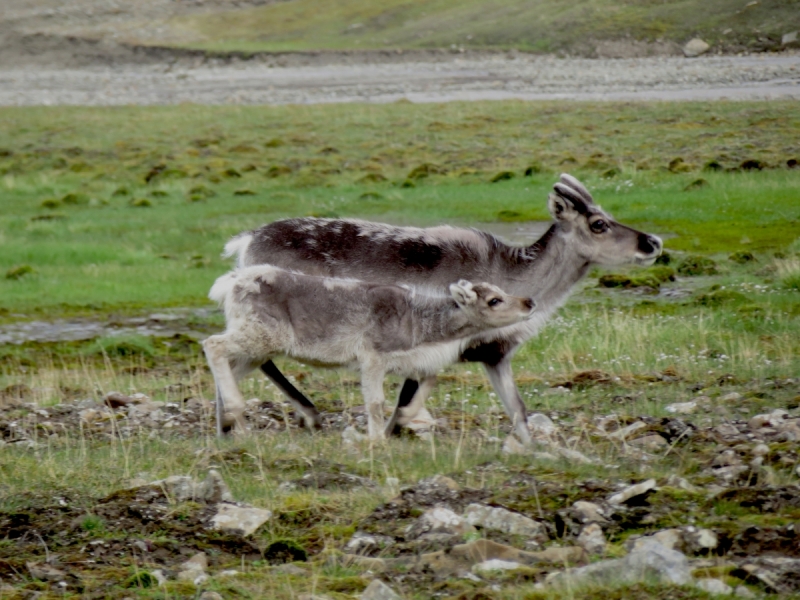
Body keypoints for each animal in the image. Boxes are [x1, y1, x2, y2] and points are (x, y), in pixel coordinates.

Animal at [203, 268, 536, 440]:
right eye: (494, 300)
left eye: (501, 290)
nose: (529, 302)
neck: (420, 326)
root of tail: (228, 283)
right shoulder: (372, 358)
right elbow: (375, 402)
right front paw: (376, 438)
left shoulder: (410, 362)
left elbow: (427, 382)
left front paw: (401, 420)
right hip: (258, 335)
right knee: (212, 344)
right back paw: (235, 414)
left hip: (257, 350)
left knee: (228, 368)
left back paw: (226, 426)